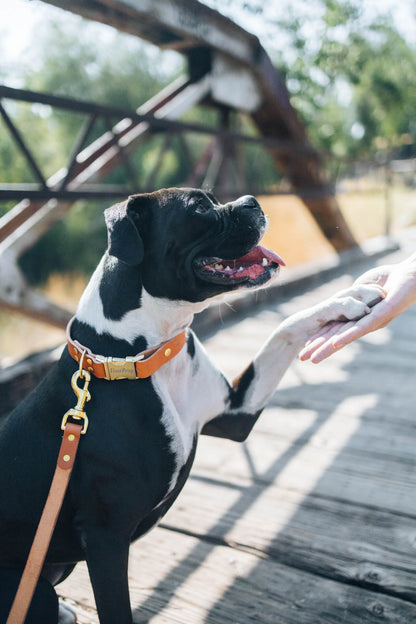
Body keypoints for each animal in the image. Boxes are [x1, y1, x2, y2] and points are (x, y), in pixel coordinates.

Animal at [0, 188, 384, 620]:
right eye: (198, 208)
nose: (251, 200)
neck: (146, 353)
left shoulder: (236, 411)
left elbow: (285, 328)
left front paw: (348, 297)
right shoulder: (105, 538)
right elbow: (118, 609)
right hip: (36, 583)